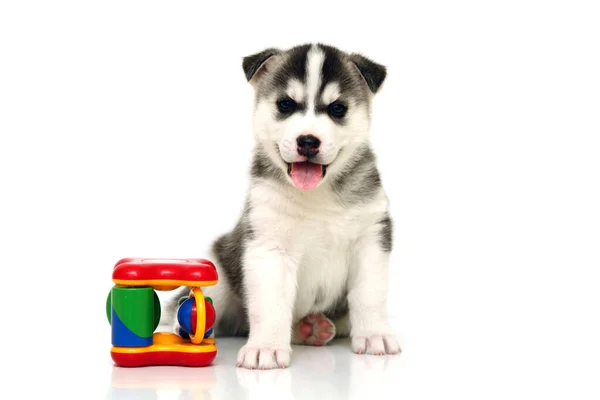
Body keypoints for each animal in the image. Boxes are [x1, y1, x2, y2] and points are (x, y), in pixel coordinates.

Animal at [169, 43, 398, 368]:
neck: (318, 195)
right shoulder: (268, 247)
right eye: (286, 105)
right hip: (221, 267)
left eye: (337, 108)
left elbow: (369, 295)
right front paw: (264, 347)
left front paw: (374, 334)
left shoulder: (372, 238)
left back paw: (311, 328)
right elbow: (271, 304)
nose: (308, 141)